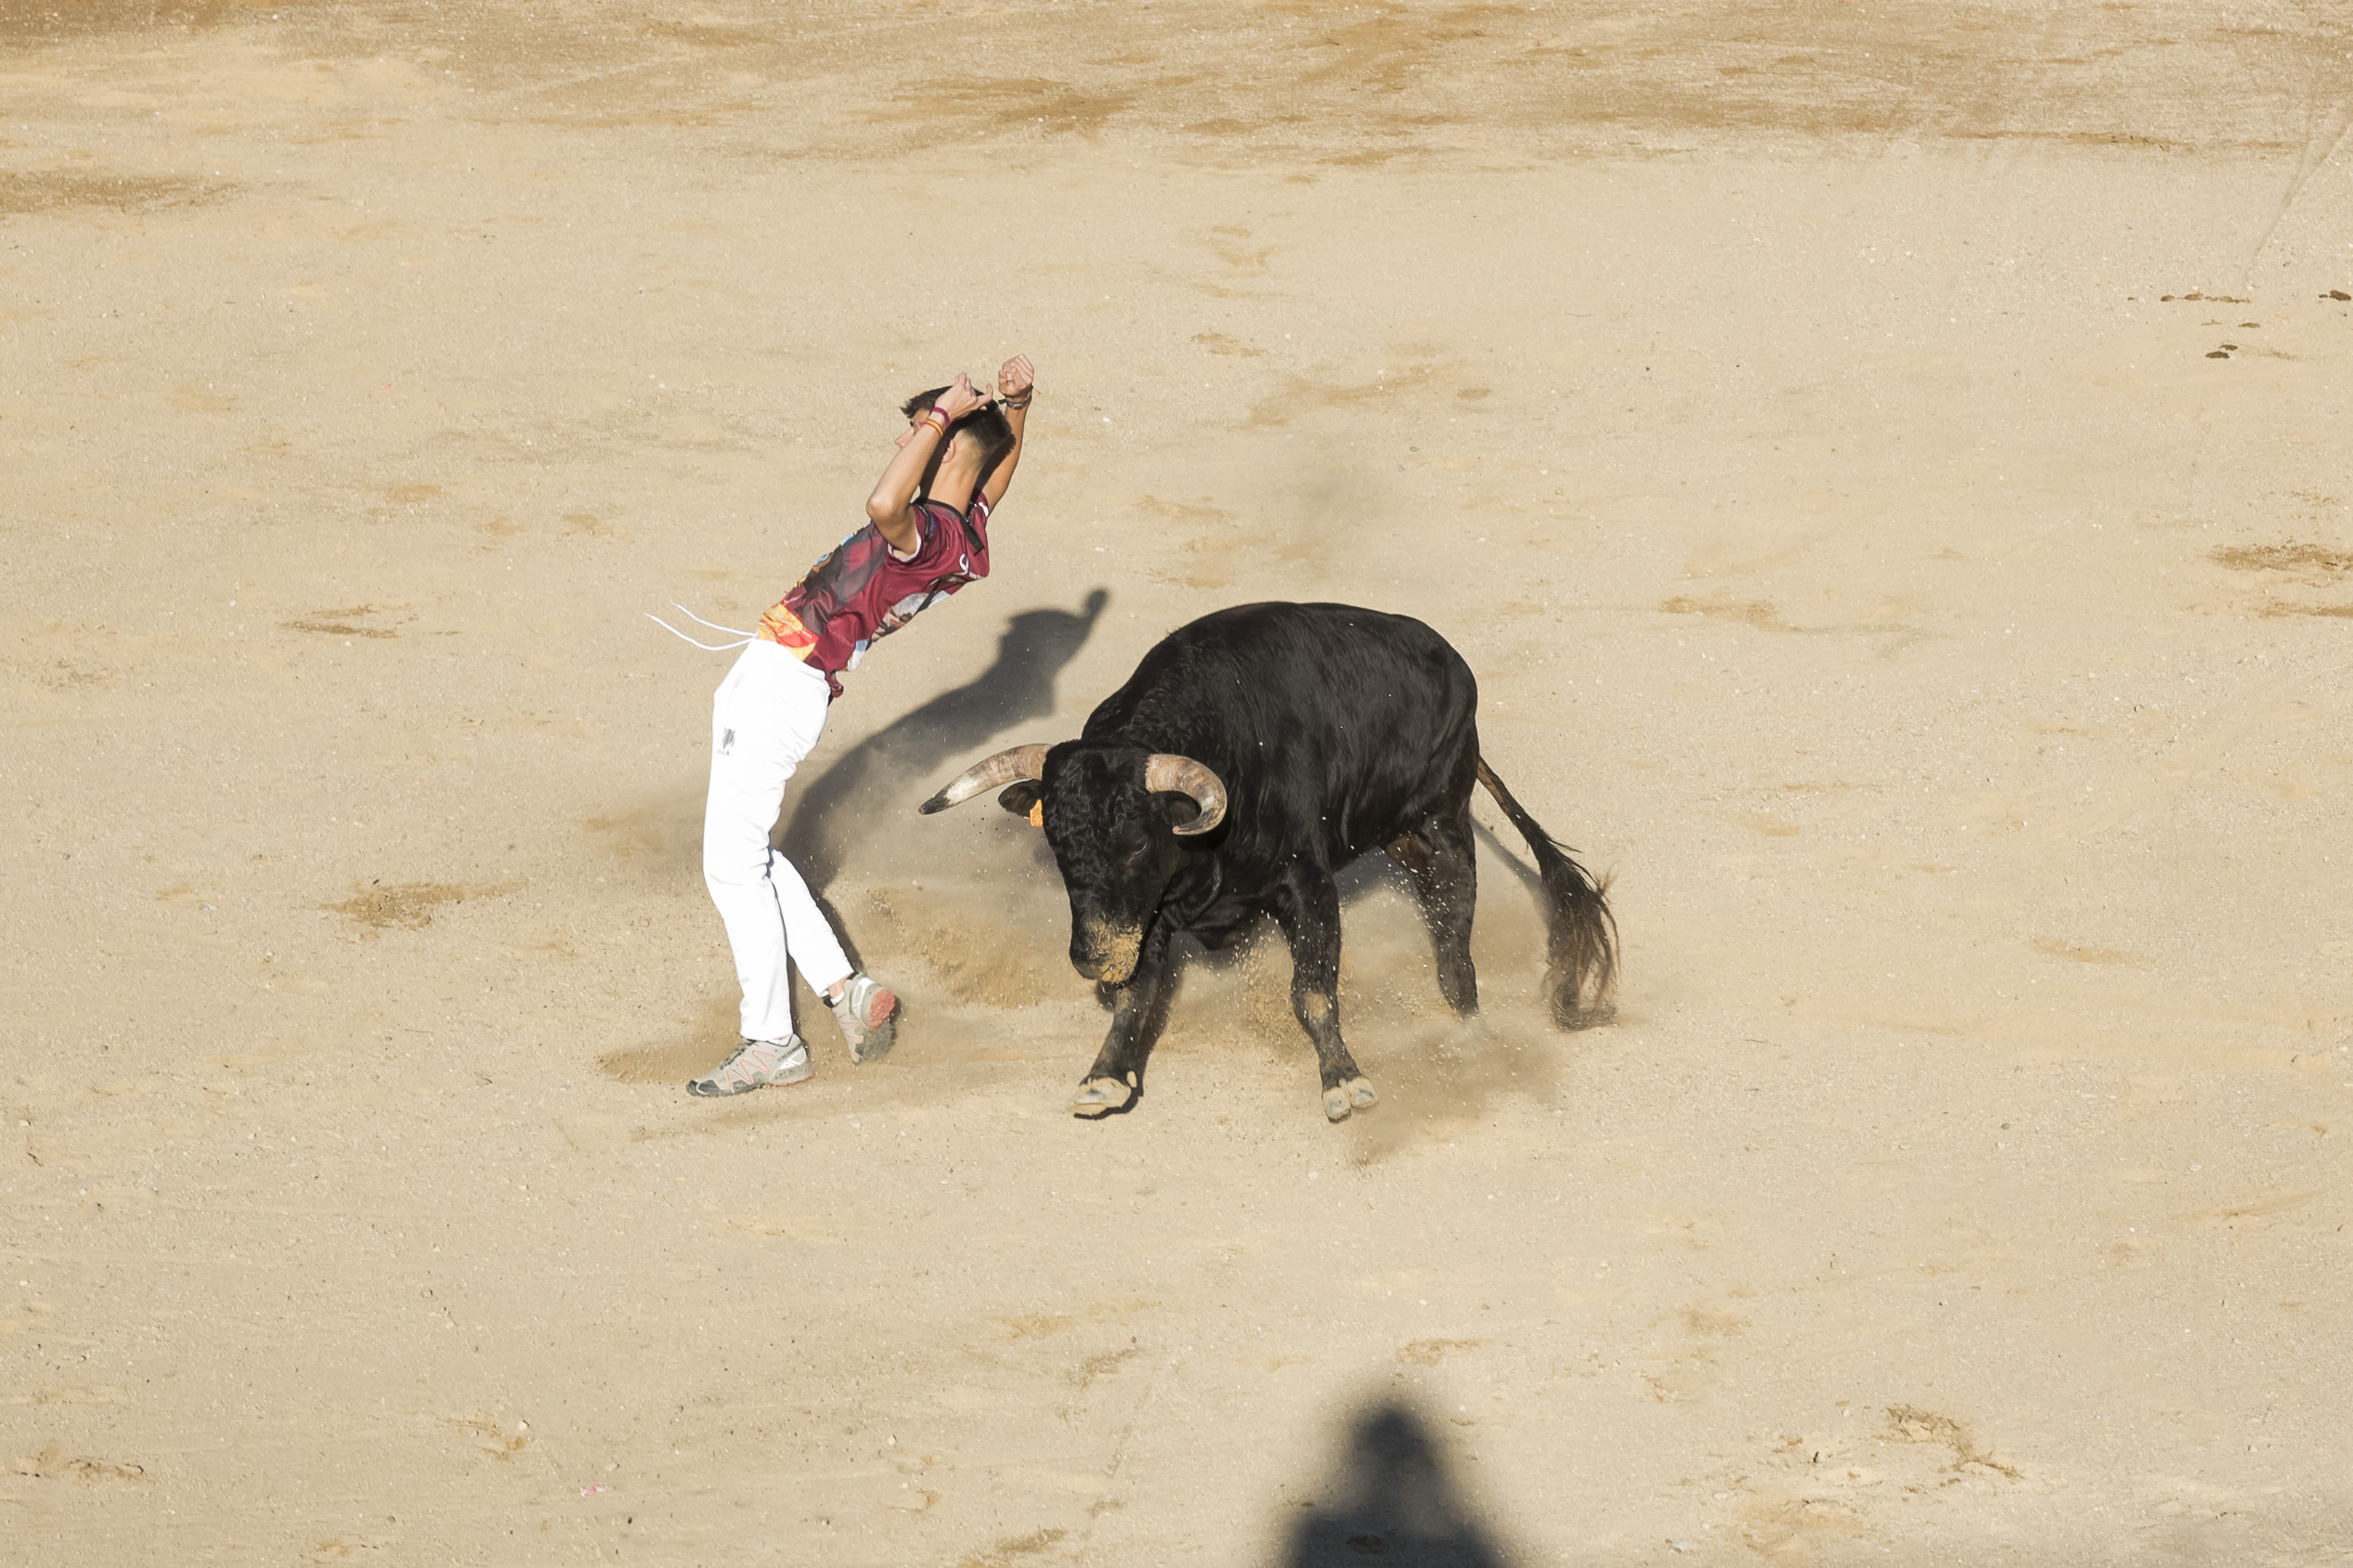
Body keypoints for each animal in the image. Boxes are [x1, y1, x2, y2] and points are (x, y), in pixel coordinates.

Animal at [917, 594, 1618, 1123]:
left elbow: (1312, 991)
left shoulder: (1307, 885)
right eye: (1058, 843)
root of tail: (1455, 668)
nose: (1090, 959)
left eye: (1138, 842)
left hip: (1440, 827)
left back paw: (1472, 1033)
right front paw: (1104, 1076)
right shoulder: (1152, 915)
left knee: (1453, 943)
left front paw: (1344, 1081)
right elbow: (1135, 996)